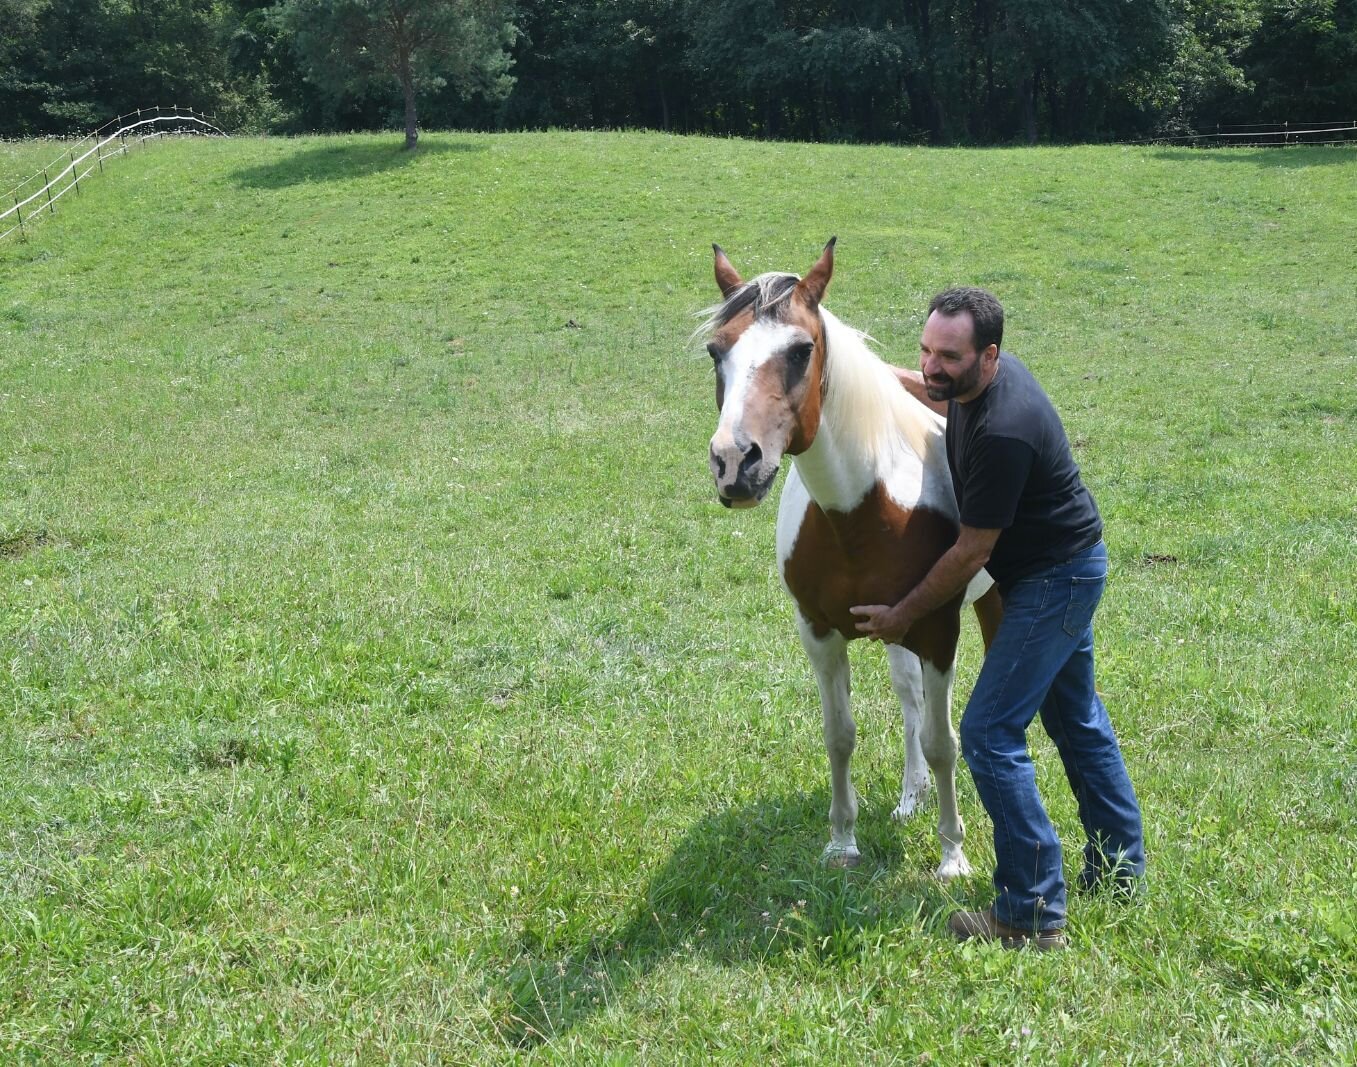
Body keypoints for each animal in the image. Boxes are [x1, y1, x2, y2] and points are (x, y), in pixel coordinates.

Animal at [700, 234, 998, 874]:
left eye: (801, 349)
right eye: (716, 351)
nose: (735, 463)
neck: (862, 513)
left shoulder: (939, 631)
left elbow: (943, 741)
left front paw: (953, 855)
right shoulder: (819, 632)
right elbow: (840, 735)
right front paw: (841, 842)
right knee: (909, 699)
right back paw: (910, 798)